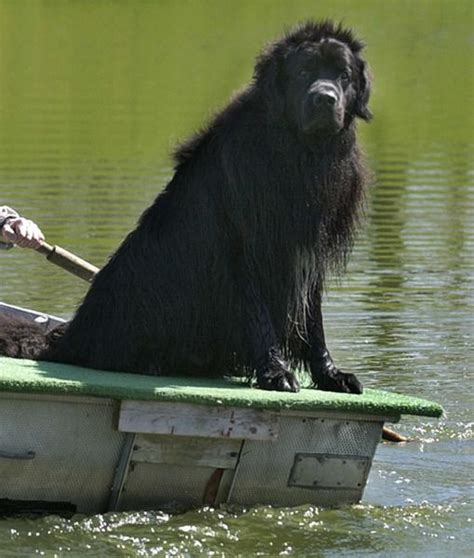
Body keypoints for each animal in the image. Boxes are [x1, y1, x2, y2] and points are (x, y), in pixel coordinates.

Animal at [0, 20, 372, 394]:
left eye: (343, 75)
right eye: (304, 71)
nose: (325, 98)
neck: (301, 152)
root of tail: (69, 339)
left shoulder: (309, 252)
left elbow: (313, 322)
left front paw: (330, 375)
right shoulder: (243, 248)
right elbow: (258, 314)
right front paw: (275, 372)